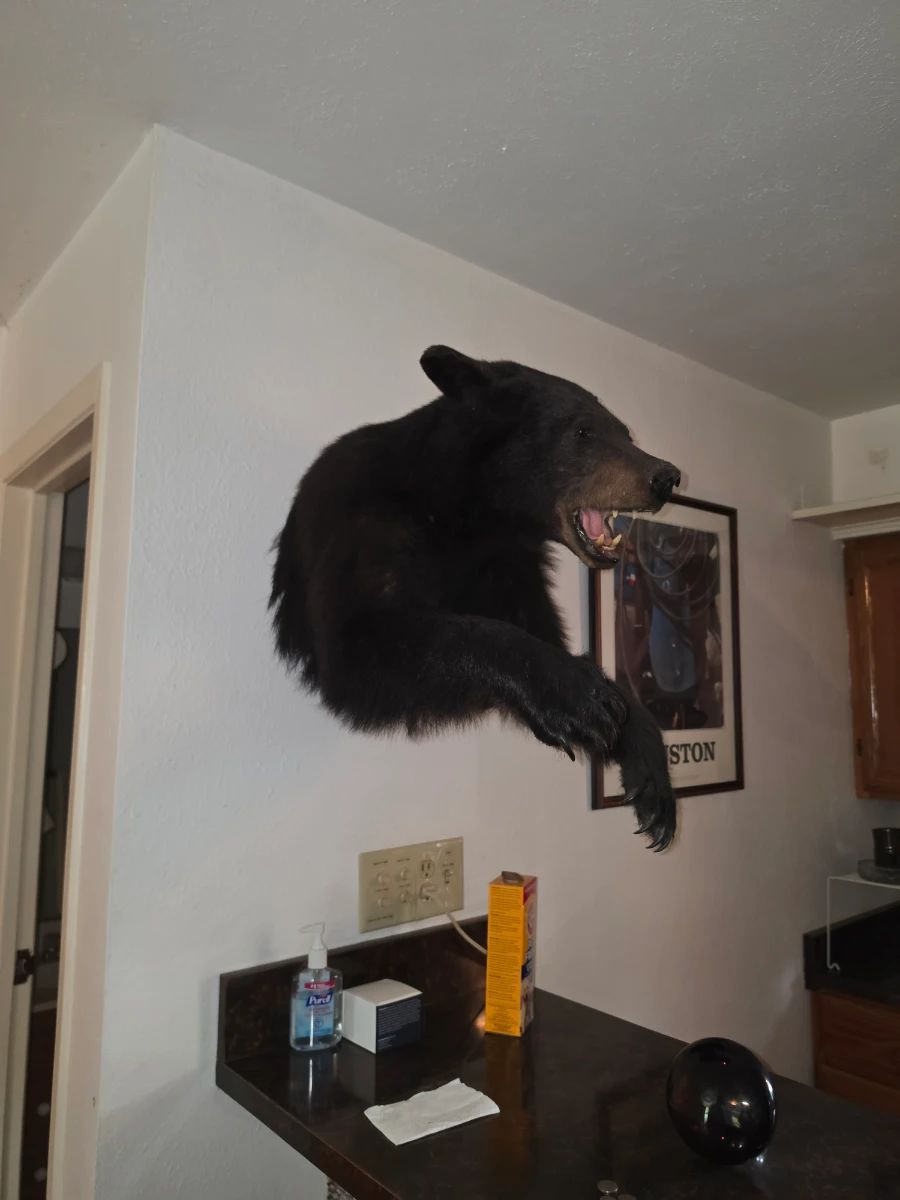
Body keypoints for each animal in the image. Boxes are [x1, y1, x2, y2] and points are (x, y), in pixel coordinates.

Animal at [270, 346, 681, 849]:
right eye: (584, 431)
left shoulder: (513, 568)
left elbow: (547, 634)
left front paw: (647, 766)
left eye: (625, 432)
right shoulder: (366, 522)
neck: (472, 517)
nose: (665, 476)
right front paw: (579, 699)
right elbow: (371, 639)